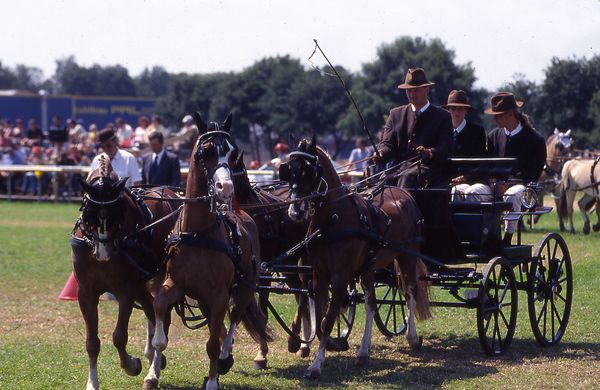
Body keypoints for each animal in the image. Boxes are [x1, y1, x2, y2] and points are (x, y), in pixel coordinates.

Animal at [71, 155, 180, 390]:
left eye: (119, 211)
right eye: (87, 211)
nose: (103, 253)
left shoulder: (126, 289)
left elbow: (119, 336)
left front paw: (131, 365)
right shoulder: (86, 292)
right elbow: (92, 342)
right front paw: (92, 382)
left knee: (161, 315)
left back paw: (153, 373)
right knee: (152, 310)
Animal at [149, 112, 274, 390]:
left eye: (234, 153)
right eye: (204, 152)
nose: (225, 187)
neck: (199, 234)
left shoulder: (219, 296)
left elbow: (213, 344)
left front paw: (214, 380)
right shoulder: (175, 284)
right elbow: (160, 308)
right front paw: (151, 375)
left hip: (245, 287)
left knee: (235, 317)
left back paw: (227, 356)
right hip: (204, 298)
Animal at [278, 136, 428, 378]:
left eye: (310, 171)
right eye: (288, 170)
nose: (295, 211)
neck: (332, 219)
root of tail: (404, 194)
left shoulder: (340, 276)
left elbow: (329, 318)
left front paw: (316, 365)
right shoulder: (320, 274)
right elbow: (322, 316)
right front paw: (327, 348)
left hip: (407, 256)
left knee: (410, 292)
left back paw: (413, 338)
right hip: (369, 267)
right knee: (371, 304)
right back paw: (364, 353)